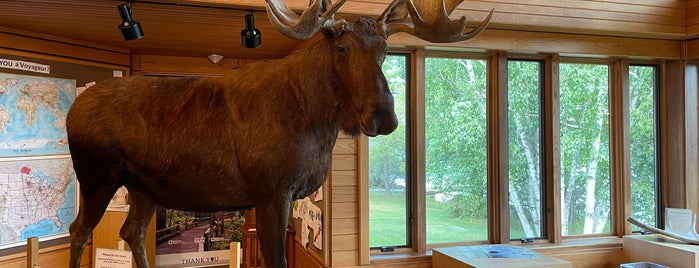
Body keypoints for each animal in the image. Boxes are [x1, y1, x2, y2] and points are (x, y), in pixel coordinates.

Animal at [65, 0, 492, 266]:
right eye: (341, 47)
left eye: (385, 48)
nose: (383, 117)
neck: (318, 126)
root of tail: (72, 108)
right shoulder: (270, 191)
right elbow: (276, 259)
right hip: (97, 176)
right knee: (79, 229)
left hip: (144, 188)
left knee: (131, 231)